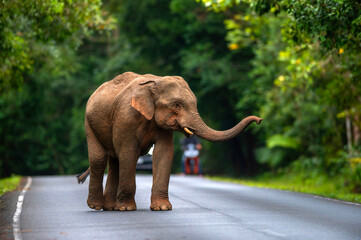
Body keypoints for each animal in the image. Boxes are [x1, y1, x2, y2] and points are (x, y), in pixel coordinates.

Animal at [76, 72, 262, 211]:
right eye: (177, 105)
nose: (259, 120)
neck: (155, 82)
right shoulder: (126, 116)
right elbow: (129, 153)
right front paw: (127, 209)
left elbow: (163, 152)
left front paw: (162, 208)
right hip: (88, 123)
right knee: (100, 159)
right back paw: (96, 206)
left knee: (114, 161)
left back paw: (110, 207)